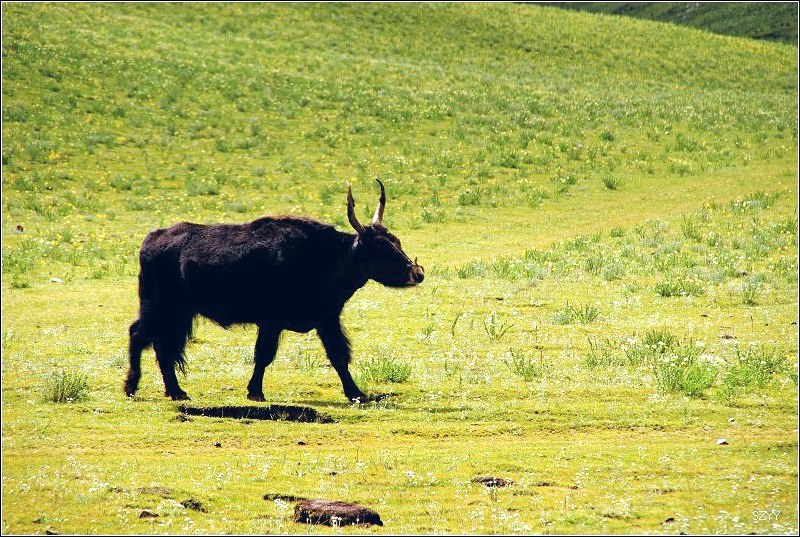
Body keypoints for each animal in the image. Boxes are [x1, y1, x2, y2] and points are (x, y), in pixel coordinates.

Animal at [124, 180, 424, 403]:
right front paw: (255, 392)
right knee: (139, 335)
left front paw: (356, 393)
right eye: (381, 248)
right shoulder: (271, 321)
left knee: (162, 345)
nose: (417, 273)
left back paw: (175, 391)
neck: (327, 256)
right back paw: (133, 386)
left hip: (178, 314)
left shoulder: (327, 319)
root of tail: (152, 238)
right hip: (157, 306)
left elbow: (338, 355)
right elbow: (264, 354)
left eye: (397, 241)